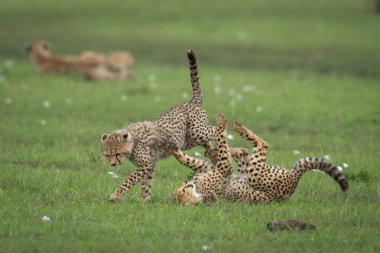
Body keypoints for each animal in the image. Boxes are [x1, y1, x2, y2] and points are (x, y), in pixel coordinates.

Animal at [102, 49, 217, 202]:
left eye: (117, 153)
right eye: (107, 155)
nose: (113, 164)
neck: (132, 143)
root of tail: (191, 101)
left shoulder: (146, 163)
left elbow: (130, 179)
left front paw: (116, 195)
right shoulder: (150, 164)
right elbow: (147, 182)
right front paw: (144, 200)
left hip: (196, 132)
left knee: (216, 129)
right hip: (186, 141)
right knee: (206, 142)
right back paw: (213, 154)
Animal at [171, 115, 348, 205]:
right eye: (183, 192)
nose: (186, 184)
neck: (199, 192)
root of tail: (294, 180)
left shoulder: (211, 168)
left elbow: (189, 160)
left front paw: (175, 150)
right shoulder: (223, 169)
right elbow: (221, 146)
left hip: (248, 171)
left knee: (244, 151)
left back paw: (228, 141)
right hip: (255, 173)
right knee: (263, 145)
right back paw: (234, 130)